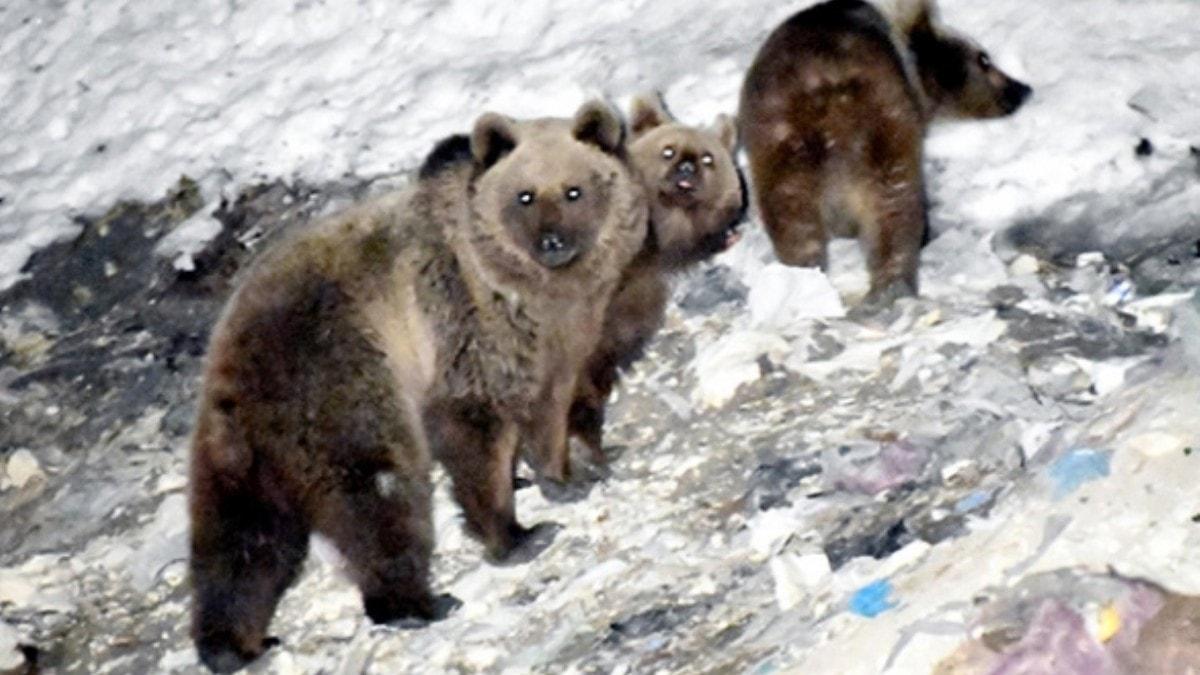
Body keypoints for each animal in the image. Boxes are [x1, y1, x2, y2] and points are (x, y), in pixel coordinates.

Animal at [189, 102, 648, 667]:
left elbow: (549, 404)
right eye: (524, 195)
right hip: (341, 383)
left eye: (574, 190)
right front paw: (515, 530)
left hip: (238, 455)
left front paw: (567, 473)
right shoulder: (461, 320)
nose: (552, 243)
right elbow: (474, 424)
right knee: (380, 490)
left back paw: (234, 643)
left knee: (243, 542)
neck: (536, 294)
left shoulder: (557, 339)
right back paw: (415, 602)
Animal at [739, 0, 1032, 307]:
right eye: (984, 59)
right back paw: (894, 283)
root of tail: (829, 89)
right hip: (881, 125)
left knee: (792, 214)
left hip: (784, 144)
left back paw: (800, 278)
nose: (1022, 89)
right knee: (894, 205)